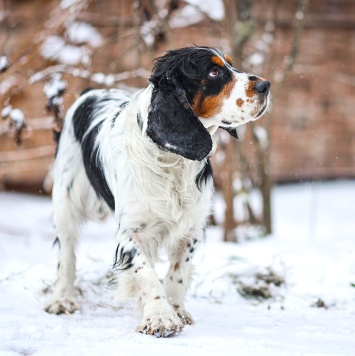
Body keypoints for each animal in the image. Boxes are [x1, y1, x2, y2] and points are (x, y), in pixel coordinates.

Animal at [46, 46, 270, 338]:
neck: (171, 160)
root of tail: (90, 92)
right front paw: (160, 317)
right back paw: (62, 299)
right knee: (66, 253)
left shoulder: (191, 228)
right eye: (213, 71)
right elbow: (146, 273)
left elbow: (177, 272)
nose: (266, 85)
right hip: (66, 202)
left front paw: (176, 310)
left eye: (231, 65)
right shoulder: (131, 230)